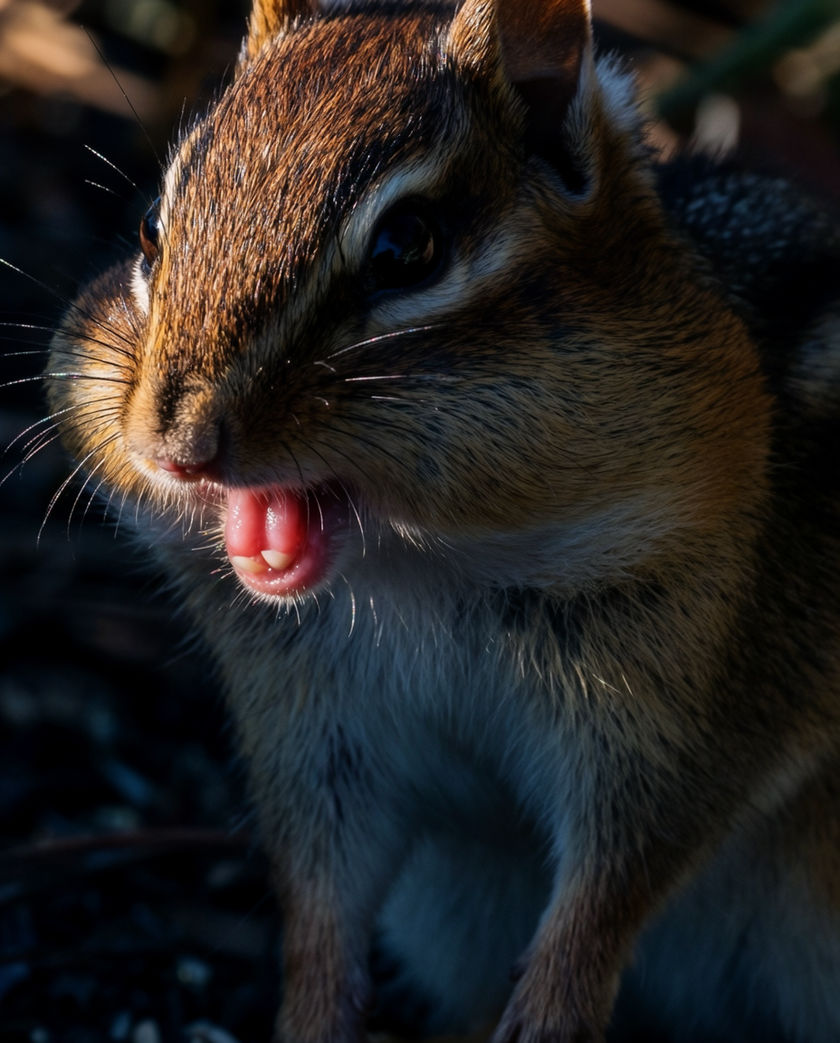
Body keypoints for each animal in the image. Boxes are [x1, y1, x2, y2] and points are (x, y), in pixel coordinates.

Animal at [47, 0, 840, 1041]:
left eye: (405, 248)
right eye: (150, 228)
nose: (175, 443)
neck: (422, 575)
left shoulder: (694, 711)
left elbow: (610, 895)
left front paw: (544, 1016)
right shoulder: (315, 730)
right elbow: (321, 902)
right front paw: (312, 1016)